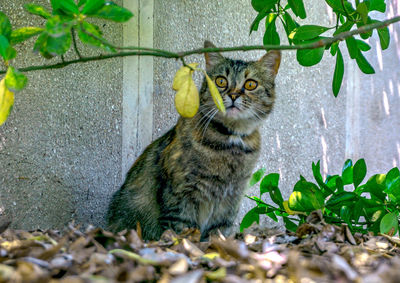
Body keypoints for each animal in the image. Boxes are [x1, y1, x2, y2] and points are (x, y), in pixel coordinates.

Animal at [106, 41, 282, 241]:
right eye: (221, 81)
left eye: (251, 84)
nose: (233, 95)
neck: (231, 140)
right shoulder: (182, 195)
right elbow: (182, 230)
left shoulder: (231, 199)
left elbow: (218, 232)